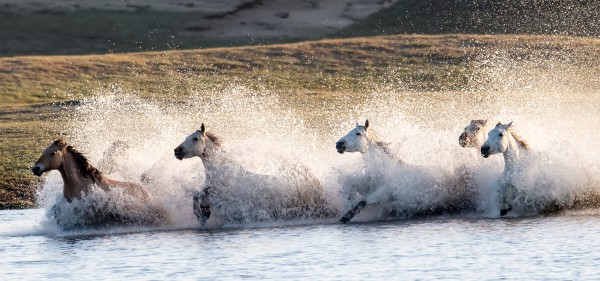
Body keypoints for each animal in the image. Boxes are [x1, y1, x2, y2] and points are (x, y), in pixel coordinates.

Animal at [173, 123, 332, 224]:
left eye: (195, 138)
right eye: (186, 137)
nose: (177, 151)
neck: (222, 173)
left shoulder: (218, 196)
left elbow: (198, 198)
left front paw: (203, 216)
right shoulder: (208, 192)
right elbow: (196, 197)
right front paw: (204, 215)